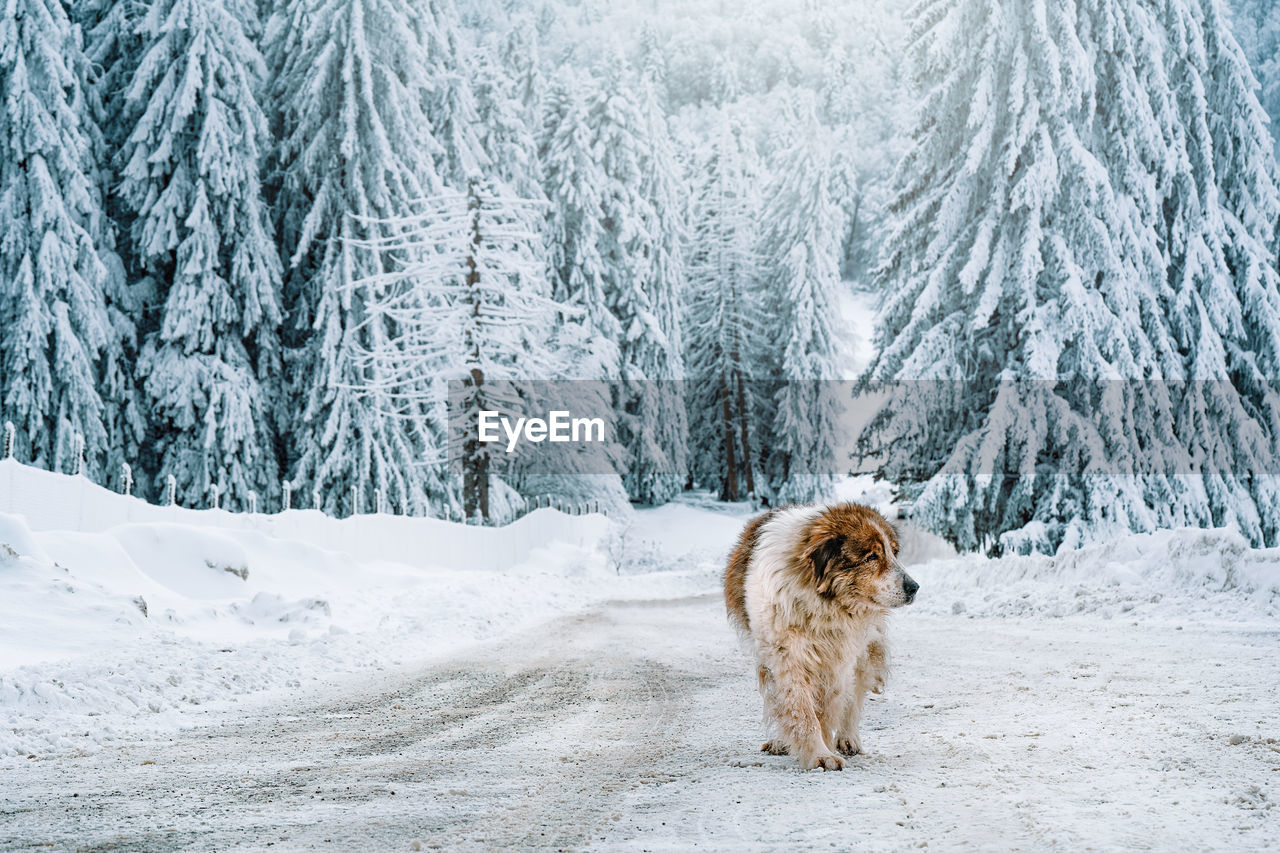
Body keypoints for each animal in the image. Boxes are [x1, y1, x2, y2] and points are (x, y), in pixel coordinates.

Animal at [727, 502, 916, 768]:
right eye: (871, 557)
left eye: (894, 553)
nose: (914, 587)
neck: (823, 605)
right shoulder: (785, 656)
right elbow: (800, 709)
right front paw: (818, 753)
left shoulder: (838, 658)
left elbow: (829, 709)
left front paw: (825, 748)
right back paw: (781, 741)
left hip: (863, 650)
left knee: (854, 695)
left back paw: (848, 738)